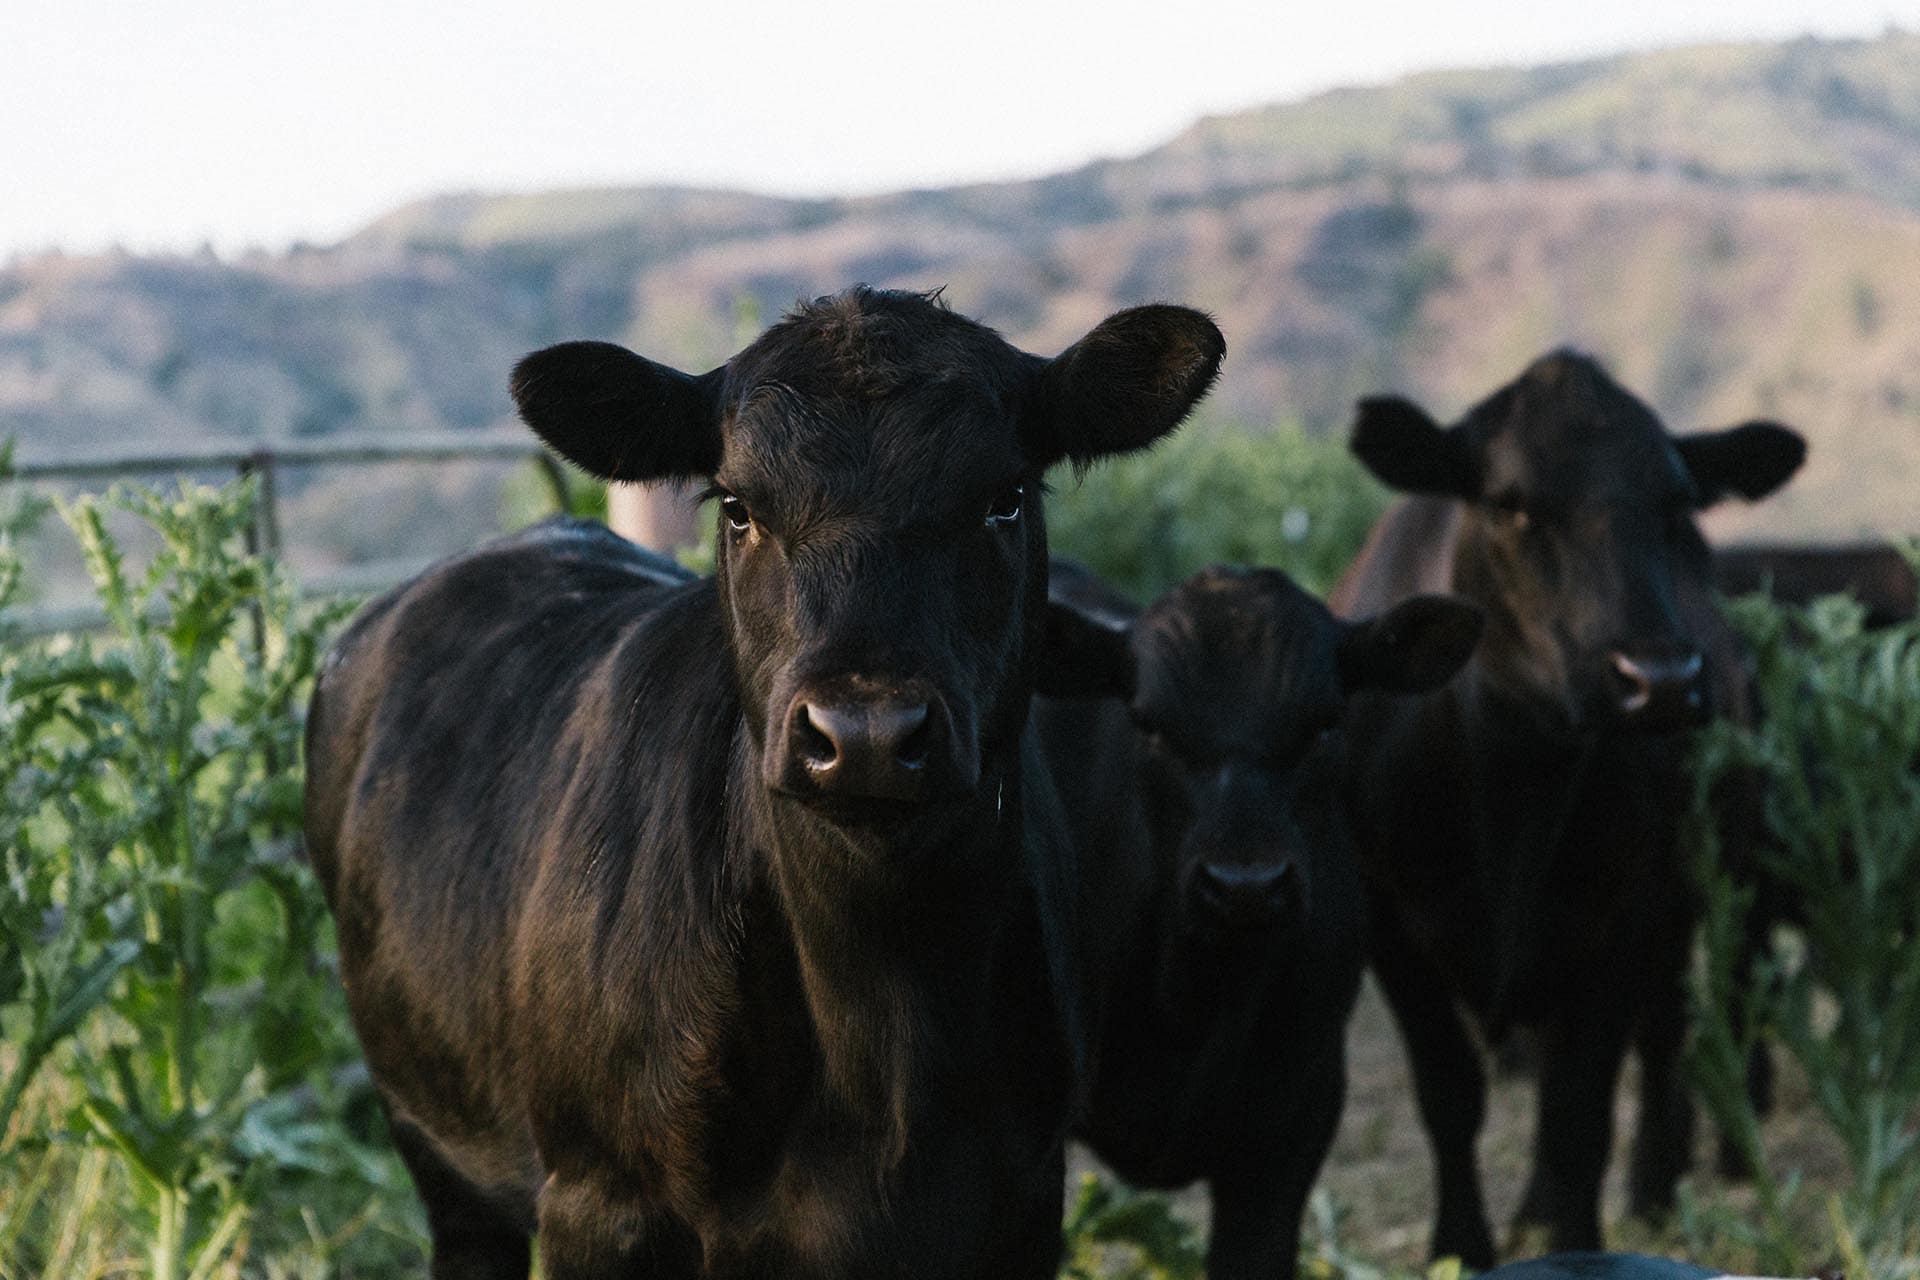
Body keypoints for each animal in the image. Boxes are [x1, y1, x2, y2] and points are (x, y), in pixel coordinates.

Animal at [302, 287, 1226, 1279]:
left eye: (1004, 499)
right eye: (740, 507)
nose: (865, 734)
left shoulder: (1023, 1199)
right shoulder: (598, 1205)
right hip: (438, 1148)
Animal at [1328, 350, 1805, 1264]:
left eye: (1677, 504)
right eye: (1512, 504)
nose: (1660, 681)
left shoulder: (1623, 919)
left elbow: (1580, 1108)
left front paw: (1574, 1237)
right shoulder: (1388, 927)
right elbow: (1450, 1093)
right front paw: (1460, 1244)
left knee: (1666, 1037)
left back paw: (1651, 1184)